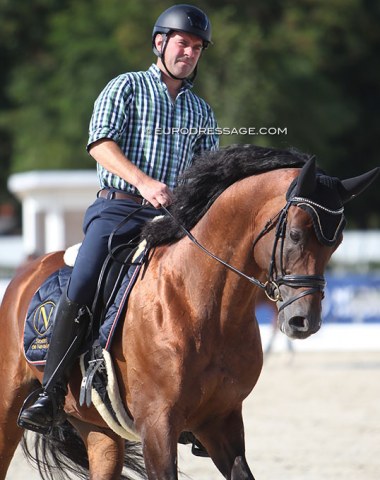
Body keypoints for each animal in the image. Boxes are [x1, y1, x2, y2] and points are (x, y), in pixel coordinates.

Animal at [0, 146, 378, 480]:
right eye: (296, 235)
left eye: (336, 243)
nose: (304, 321)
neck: (203, 306)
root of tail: (27, 272)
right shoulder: (157, 424)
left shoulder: (222, 422)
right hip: (10, 403)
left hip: (98, 430)